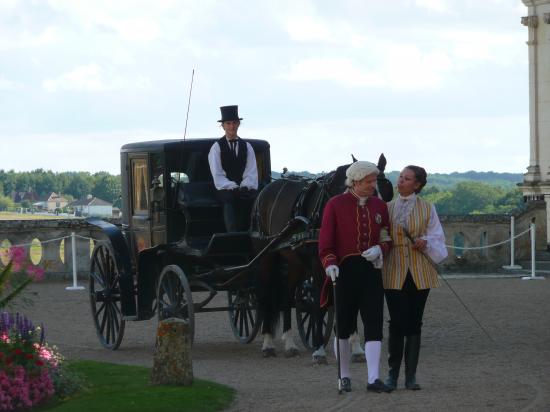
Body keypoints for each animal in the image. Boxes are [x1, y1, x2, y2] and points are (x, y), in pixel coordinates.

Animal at [252, 156, 394, 362]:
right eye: (370, 188)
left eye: (387, 190)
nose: (381, 224)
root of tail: (266, 190)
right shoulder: (319, 267)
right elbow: (318, 305)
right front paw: (319, 349)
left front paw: (355, 348)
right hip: (266, 257)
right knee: (266, 297)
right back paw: (268, 343)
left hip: (295, 264)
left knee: (286, 297)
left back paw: (290, 344)